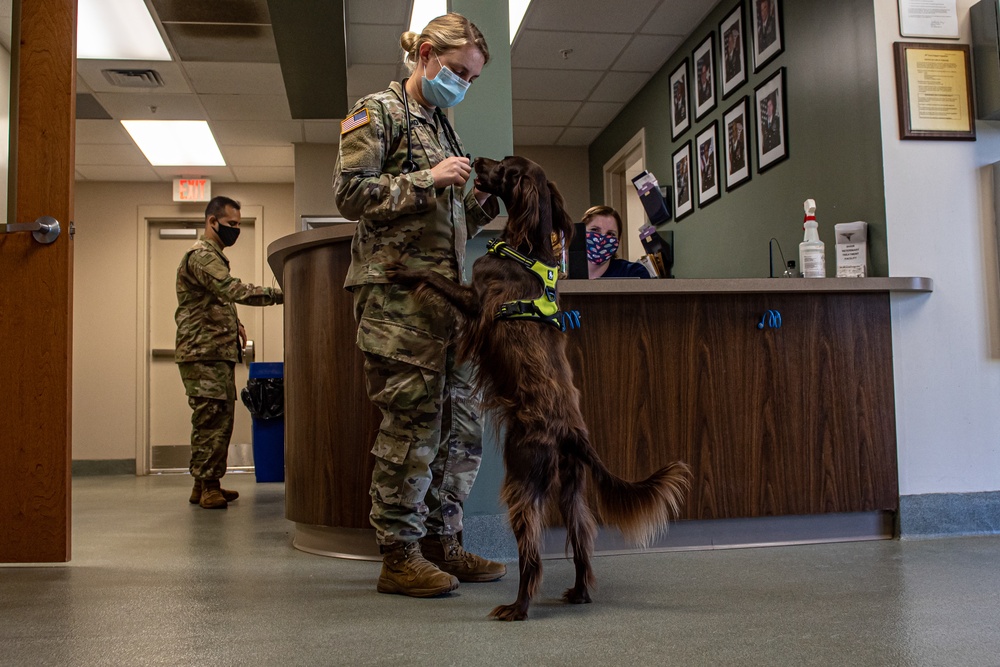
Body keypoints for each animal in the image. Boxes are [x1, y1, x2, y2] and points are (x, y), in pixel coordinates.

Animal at [384, 157, 688, 620]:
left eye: (505, 168)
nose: (478, 160)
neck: (527, 250)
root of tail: (572, 434)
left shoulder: (474, 299)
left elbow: (435, 278)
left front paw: (403, 269)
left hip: (522, 478)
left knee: (532, 556)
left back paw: (518, 607)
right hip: (571, 492)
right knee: (582, 544)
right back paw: (578, 593)